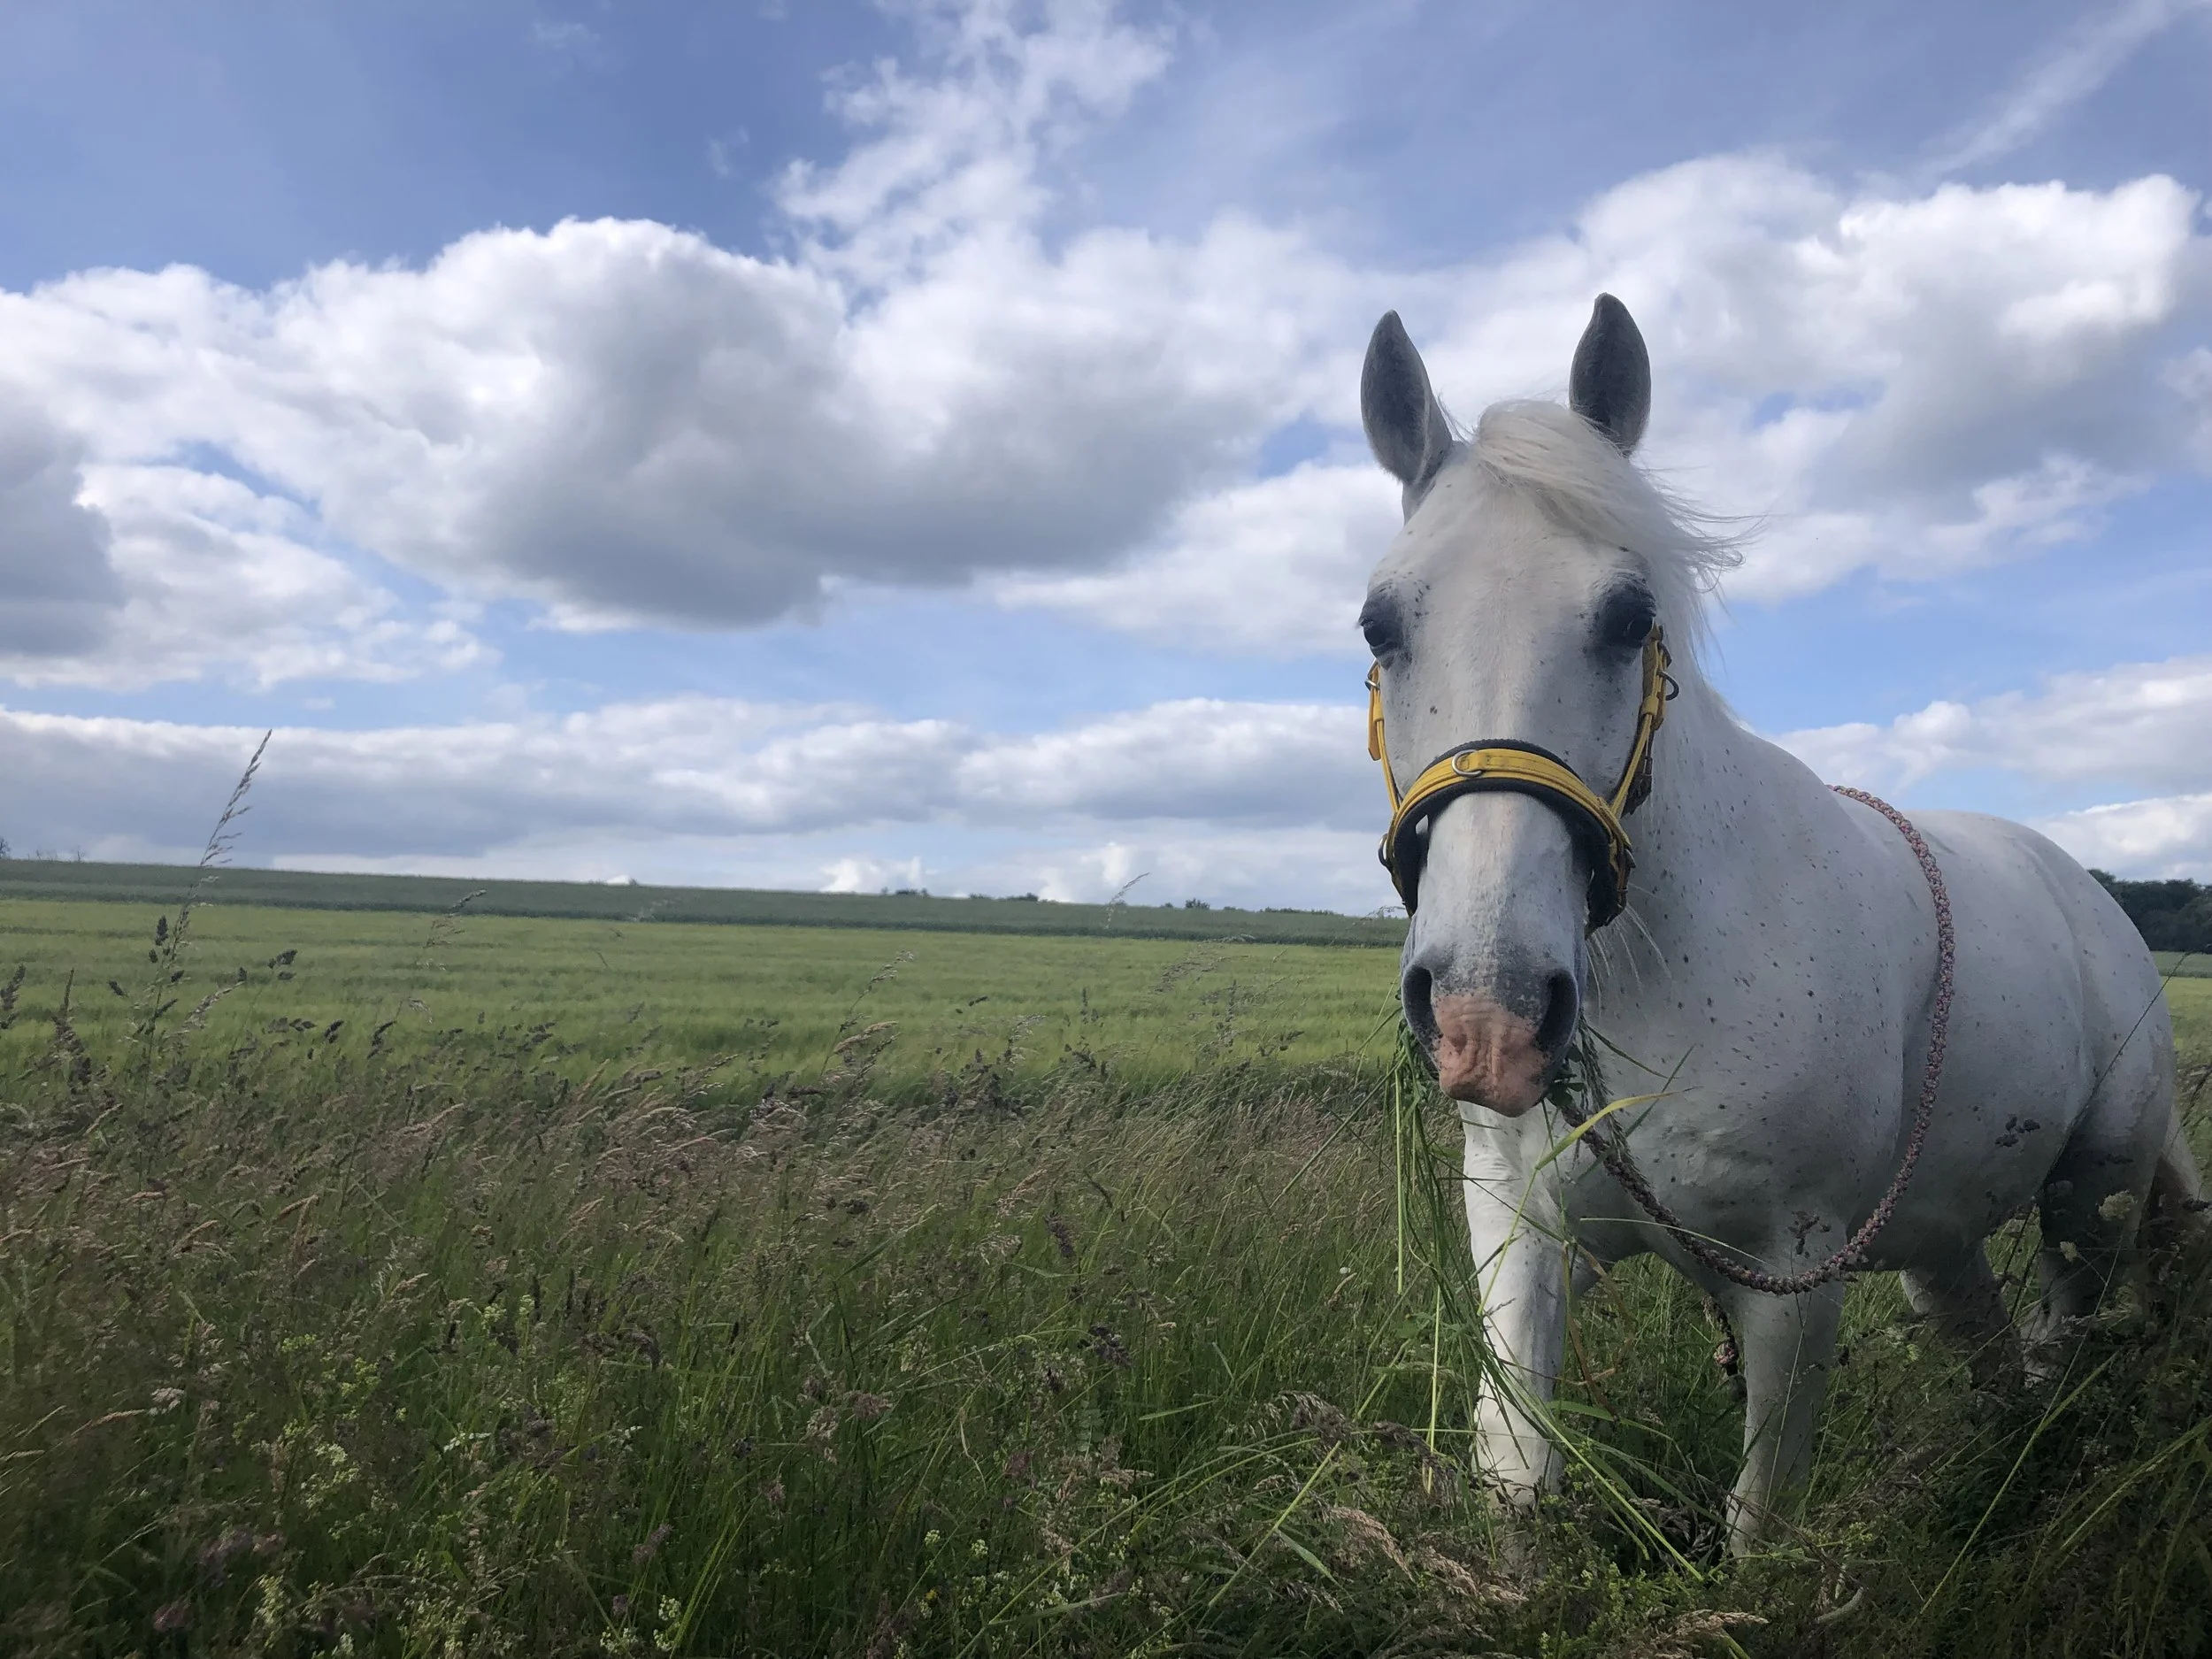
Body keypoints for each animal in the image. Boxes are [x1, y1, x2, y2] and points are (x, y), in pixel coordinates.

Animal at [1355, 293, 2194, 1552]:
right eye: (1378, 625)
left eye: (1629, 617)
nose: (1487, 1020)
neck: (1659, 982)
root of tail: (2088, 896)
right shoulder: (1523, 1231)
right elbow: (1516, 1476)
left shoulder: (1794, 1282)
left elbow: (1756, 1530)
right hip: (1939, 1239)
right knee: (1993, 1356)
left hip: (2085, 1205)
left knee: (2057, 1351)